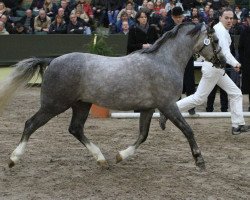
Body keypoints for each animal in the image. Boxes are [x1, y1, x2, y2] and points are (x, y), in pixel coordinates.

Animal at [0, 23, 227, 170]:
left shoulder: (148, 108)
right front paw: (199, 161)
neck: (164, 62)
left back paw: (101, 160)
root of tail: (52, 61)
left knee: (75, 129)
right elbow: (188, 130)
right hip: (54, 105)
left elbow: (143, 135)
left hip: (81, 105)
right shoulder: (168, 105)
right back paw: (13, 159)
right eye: (215, 40)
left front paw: (120, 156)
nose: (223, 62)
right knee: (31, 124)